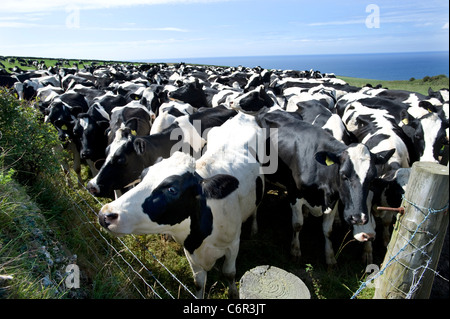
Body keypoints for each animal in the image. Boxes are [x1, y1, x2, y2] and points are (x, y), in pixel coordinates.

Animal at [98, 111, 264, 298]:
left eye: (172, 189)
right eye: (142, 176)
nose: (105, 215)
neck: (199, 237)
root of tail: (242, 115)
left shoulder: (233, 244)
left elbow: (229, 273)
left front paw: (234, 293)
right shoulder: (190, 251)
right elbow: (199, 283)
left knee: (256, 208)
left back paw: (254, 228)